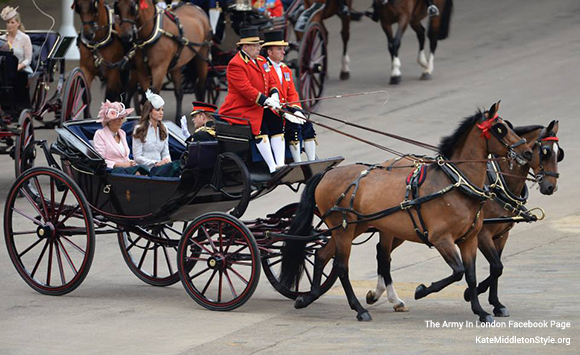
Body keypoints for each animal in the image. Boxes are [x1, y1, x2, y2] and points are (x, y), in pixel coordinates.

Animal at [280, 101, 536, 324]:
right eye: (500, 128)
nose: (527, 152)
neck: (456, 182)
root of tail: (327, 174)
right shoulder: (441, 239)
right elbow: (458, 271)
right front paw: (423, 290)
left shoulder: (470, 239)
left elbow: (472, 275)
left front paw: (480, 311)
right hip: (344, 229)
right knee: (342, 267)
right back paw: (359, 309)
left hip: (353, 227)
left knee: (322, 256)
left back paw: (308, 297)